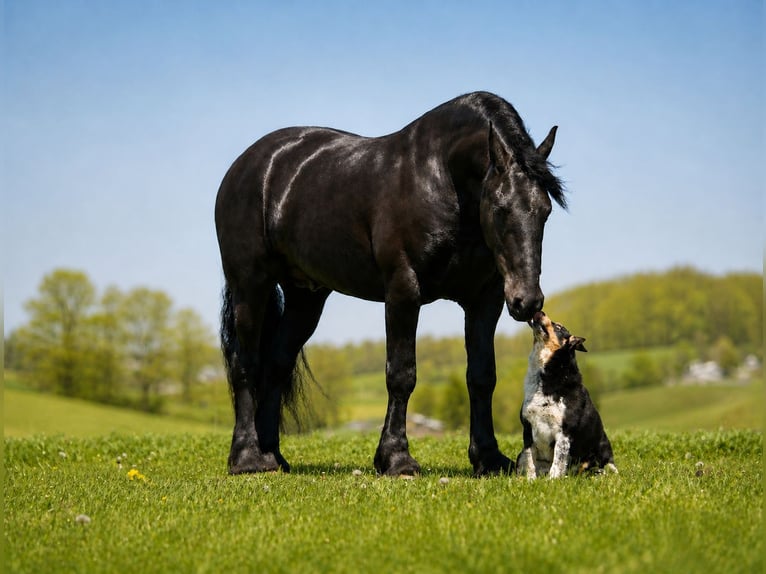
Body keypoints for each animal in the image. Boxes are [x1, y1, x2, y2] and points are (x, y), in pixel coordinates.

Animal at [215, 91, 566, 477]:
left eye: (545, 210)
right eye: (501, 209)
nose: (527, 301)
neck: (441, 177)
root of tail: (250, 164)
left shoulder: (484, 300)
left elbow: (482, 376)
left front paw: (488, 457)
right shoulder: (403, 291)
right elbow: (401, 374)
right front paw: (397, 458)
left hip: (304, 298)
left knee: (277, 364)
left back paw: (272, 457)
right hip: (250, 286)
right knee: (245, 364)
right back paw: (247, 458)